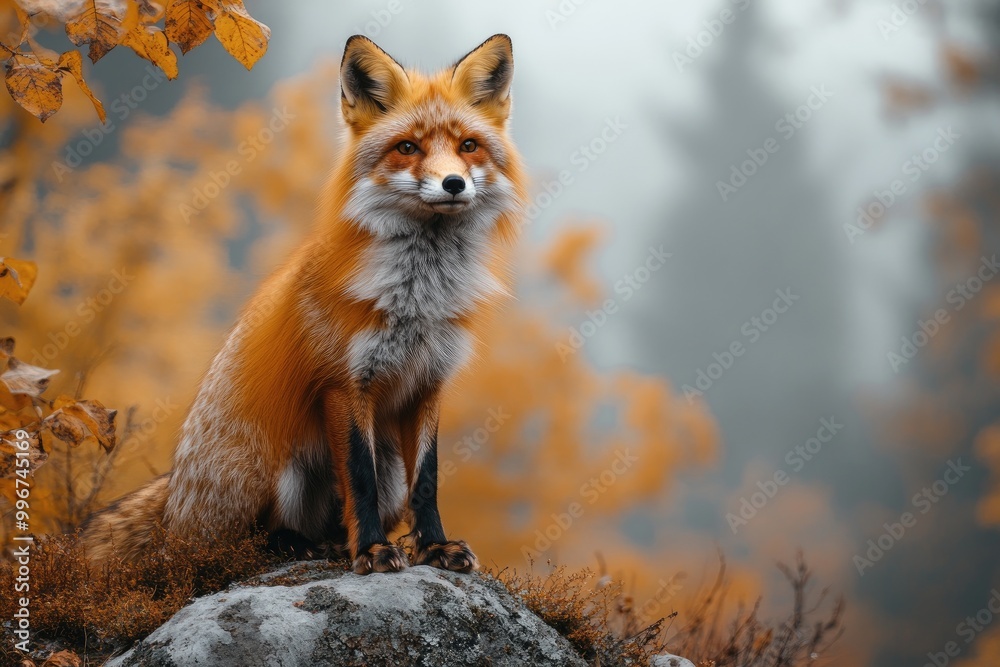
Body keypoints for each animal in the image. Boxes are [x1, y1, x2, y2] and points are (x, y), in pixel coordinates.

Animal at [81, 34, 526, 575]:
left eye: (468, 146)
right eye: (407, 147)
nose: (454, 184)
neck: (417, 301)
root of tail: (174, 504)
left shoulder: (428, 385)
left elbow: (427, 481)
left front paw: (434, 547)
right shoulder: (343, 383)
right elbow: (359, 478)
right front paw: (371, 550)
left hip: (384, 466)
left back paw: (335, 543)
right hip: (274, 470)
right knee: (236, 545)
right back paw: (298, 545)